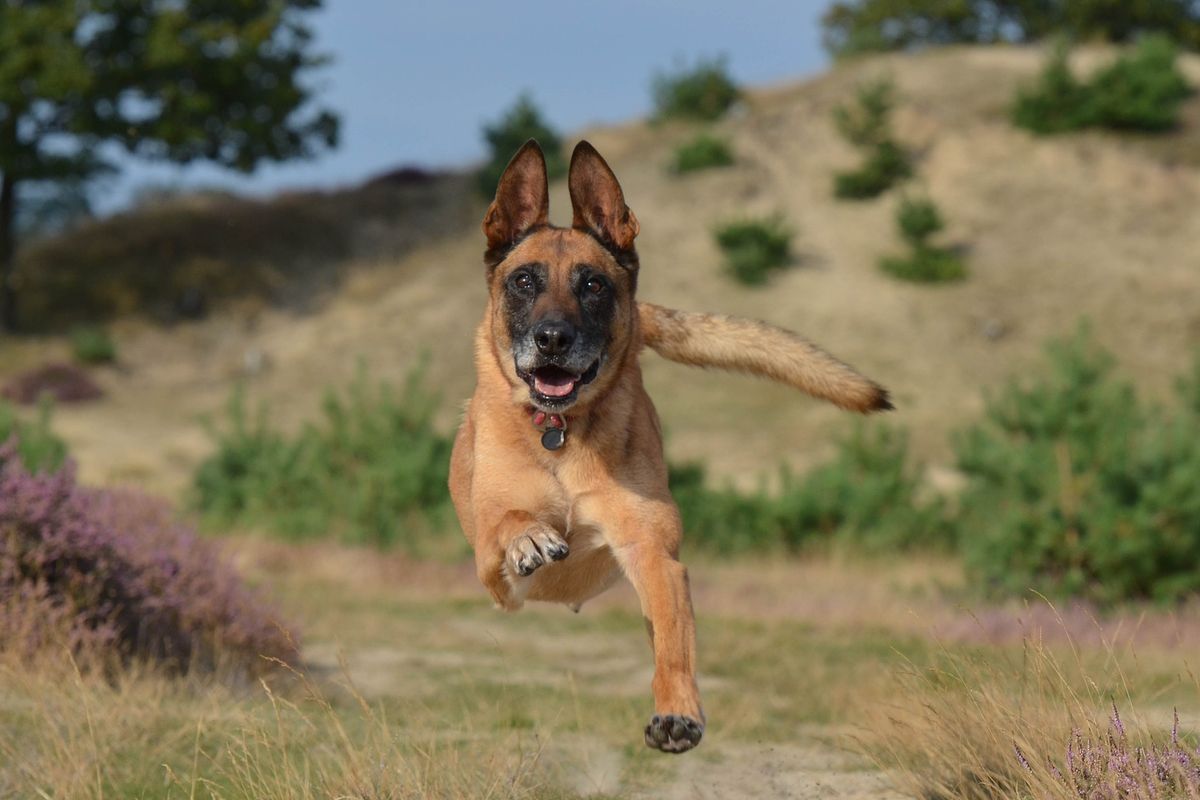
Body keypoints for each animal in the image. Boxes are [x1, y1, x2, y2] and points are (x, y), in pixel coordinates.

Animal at [451, 139, 892, 758]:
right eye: (524, 282)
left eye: (593, 285)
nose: (553, 340)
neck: (560, 434)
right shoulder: (493, 573)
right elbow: (509, 520)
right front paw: (531, 535)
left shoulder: (655, 556)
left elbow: (673, 646)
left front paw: (677, 712)